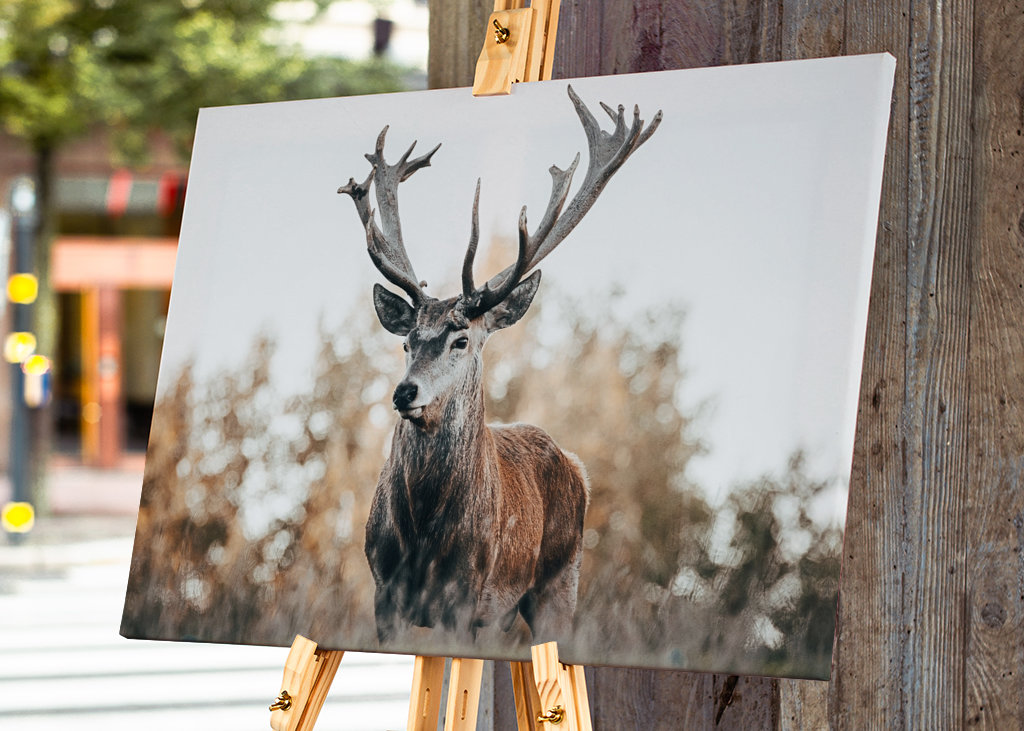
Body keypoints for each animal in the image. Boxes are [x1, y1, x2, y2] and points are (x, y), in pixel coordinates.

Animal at [338, 85, 661, 646]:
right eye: (406, 343)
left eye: (462, 339)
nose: (405, 393)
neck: (423, 537)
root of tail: (577, 466)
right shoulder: (384, 592)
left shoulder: (467, 598)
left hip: (559, 582)